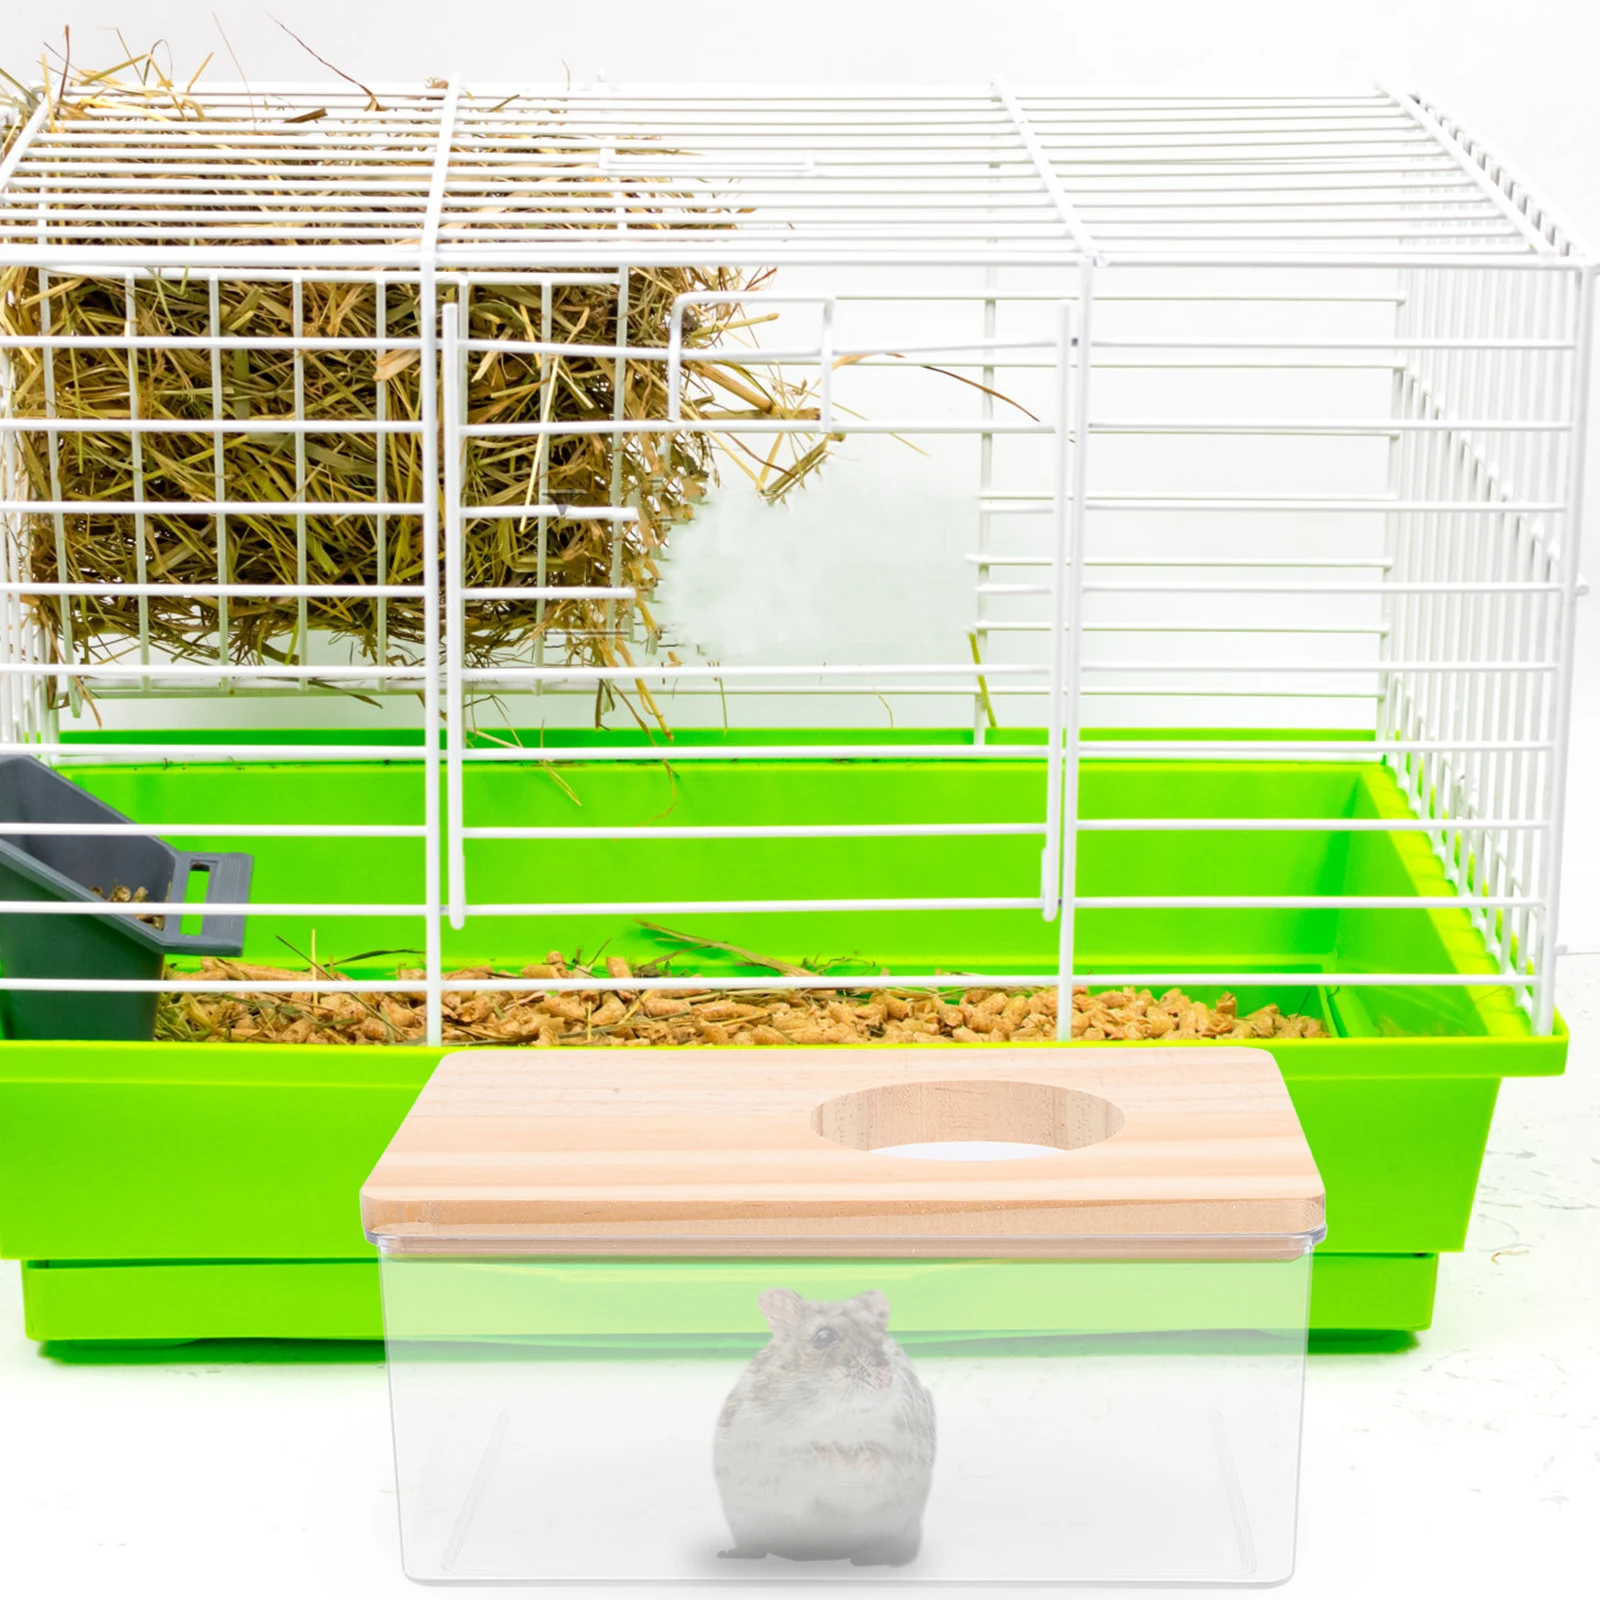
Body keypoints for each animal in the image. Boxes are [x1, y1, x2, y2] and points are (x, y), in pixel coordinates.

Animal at [713, 1287, 936, 1567]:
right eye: (824, 1337)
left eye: (881, 1331)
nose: (887, 1378)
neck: (841, 1416)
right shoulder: (770, 1453)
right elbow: (806, 1457)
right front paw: (835, 1456)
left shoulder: (908, 1451)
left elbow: (885, 1462)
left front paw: (864, 1459)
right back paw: (732, 1554)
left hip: (905, 1527)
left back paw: (872, 1557)